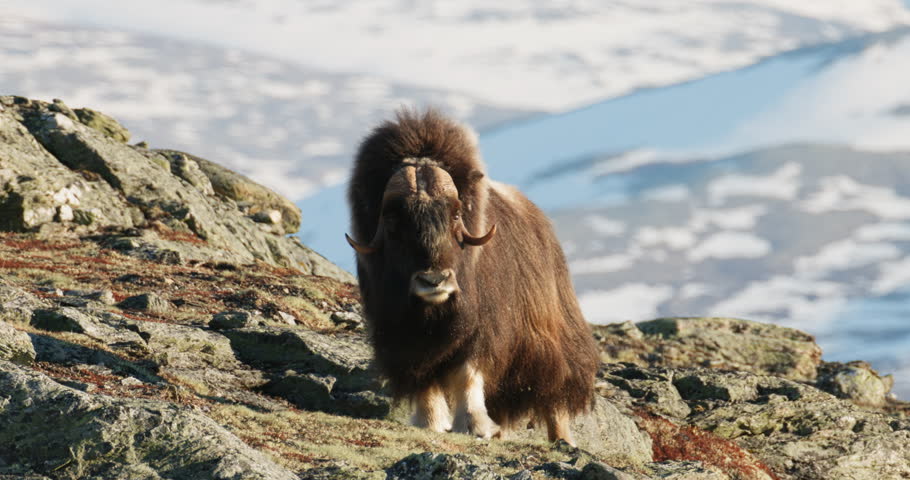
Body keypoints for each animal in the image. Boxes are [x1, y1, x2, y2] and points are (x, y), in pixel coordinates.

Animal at [345, 109, 599, 445]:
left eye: (454, 214)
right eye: (392, 219)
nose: (434, 281)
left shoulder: (480, 330)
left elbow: (467, 374)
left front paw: (475, 426)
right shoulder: (405, 338)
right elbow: (424, 380)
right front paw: (430, 422)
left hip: (550, 346)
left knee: (555, 395)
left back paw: (563, 441)